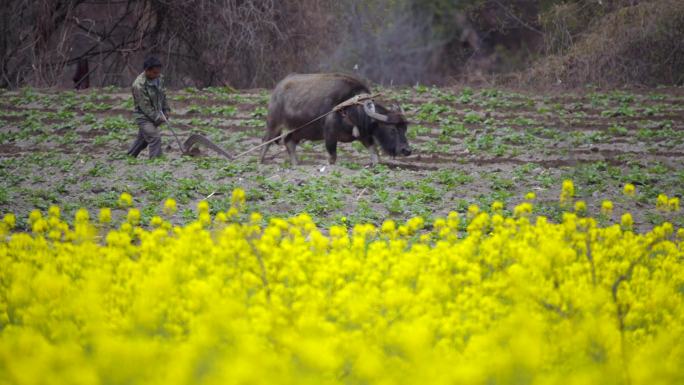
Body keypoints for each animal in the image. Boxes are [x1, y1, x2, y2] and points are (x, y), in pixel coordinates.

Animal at [260, 73, 408, 166]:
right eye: (392, 129)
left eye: (404, 129)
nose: (406, 150)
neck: (350, 108)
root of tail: (278, 88)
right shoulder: (330, 136)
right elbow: (332, 158)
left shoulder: (365, 137)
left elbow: (375, 156)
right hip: (274, 124)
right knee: (266, 141)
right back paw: (260, 162)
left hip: (298, 131)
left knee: (289, 142)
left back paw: (295, 165)